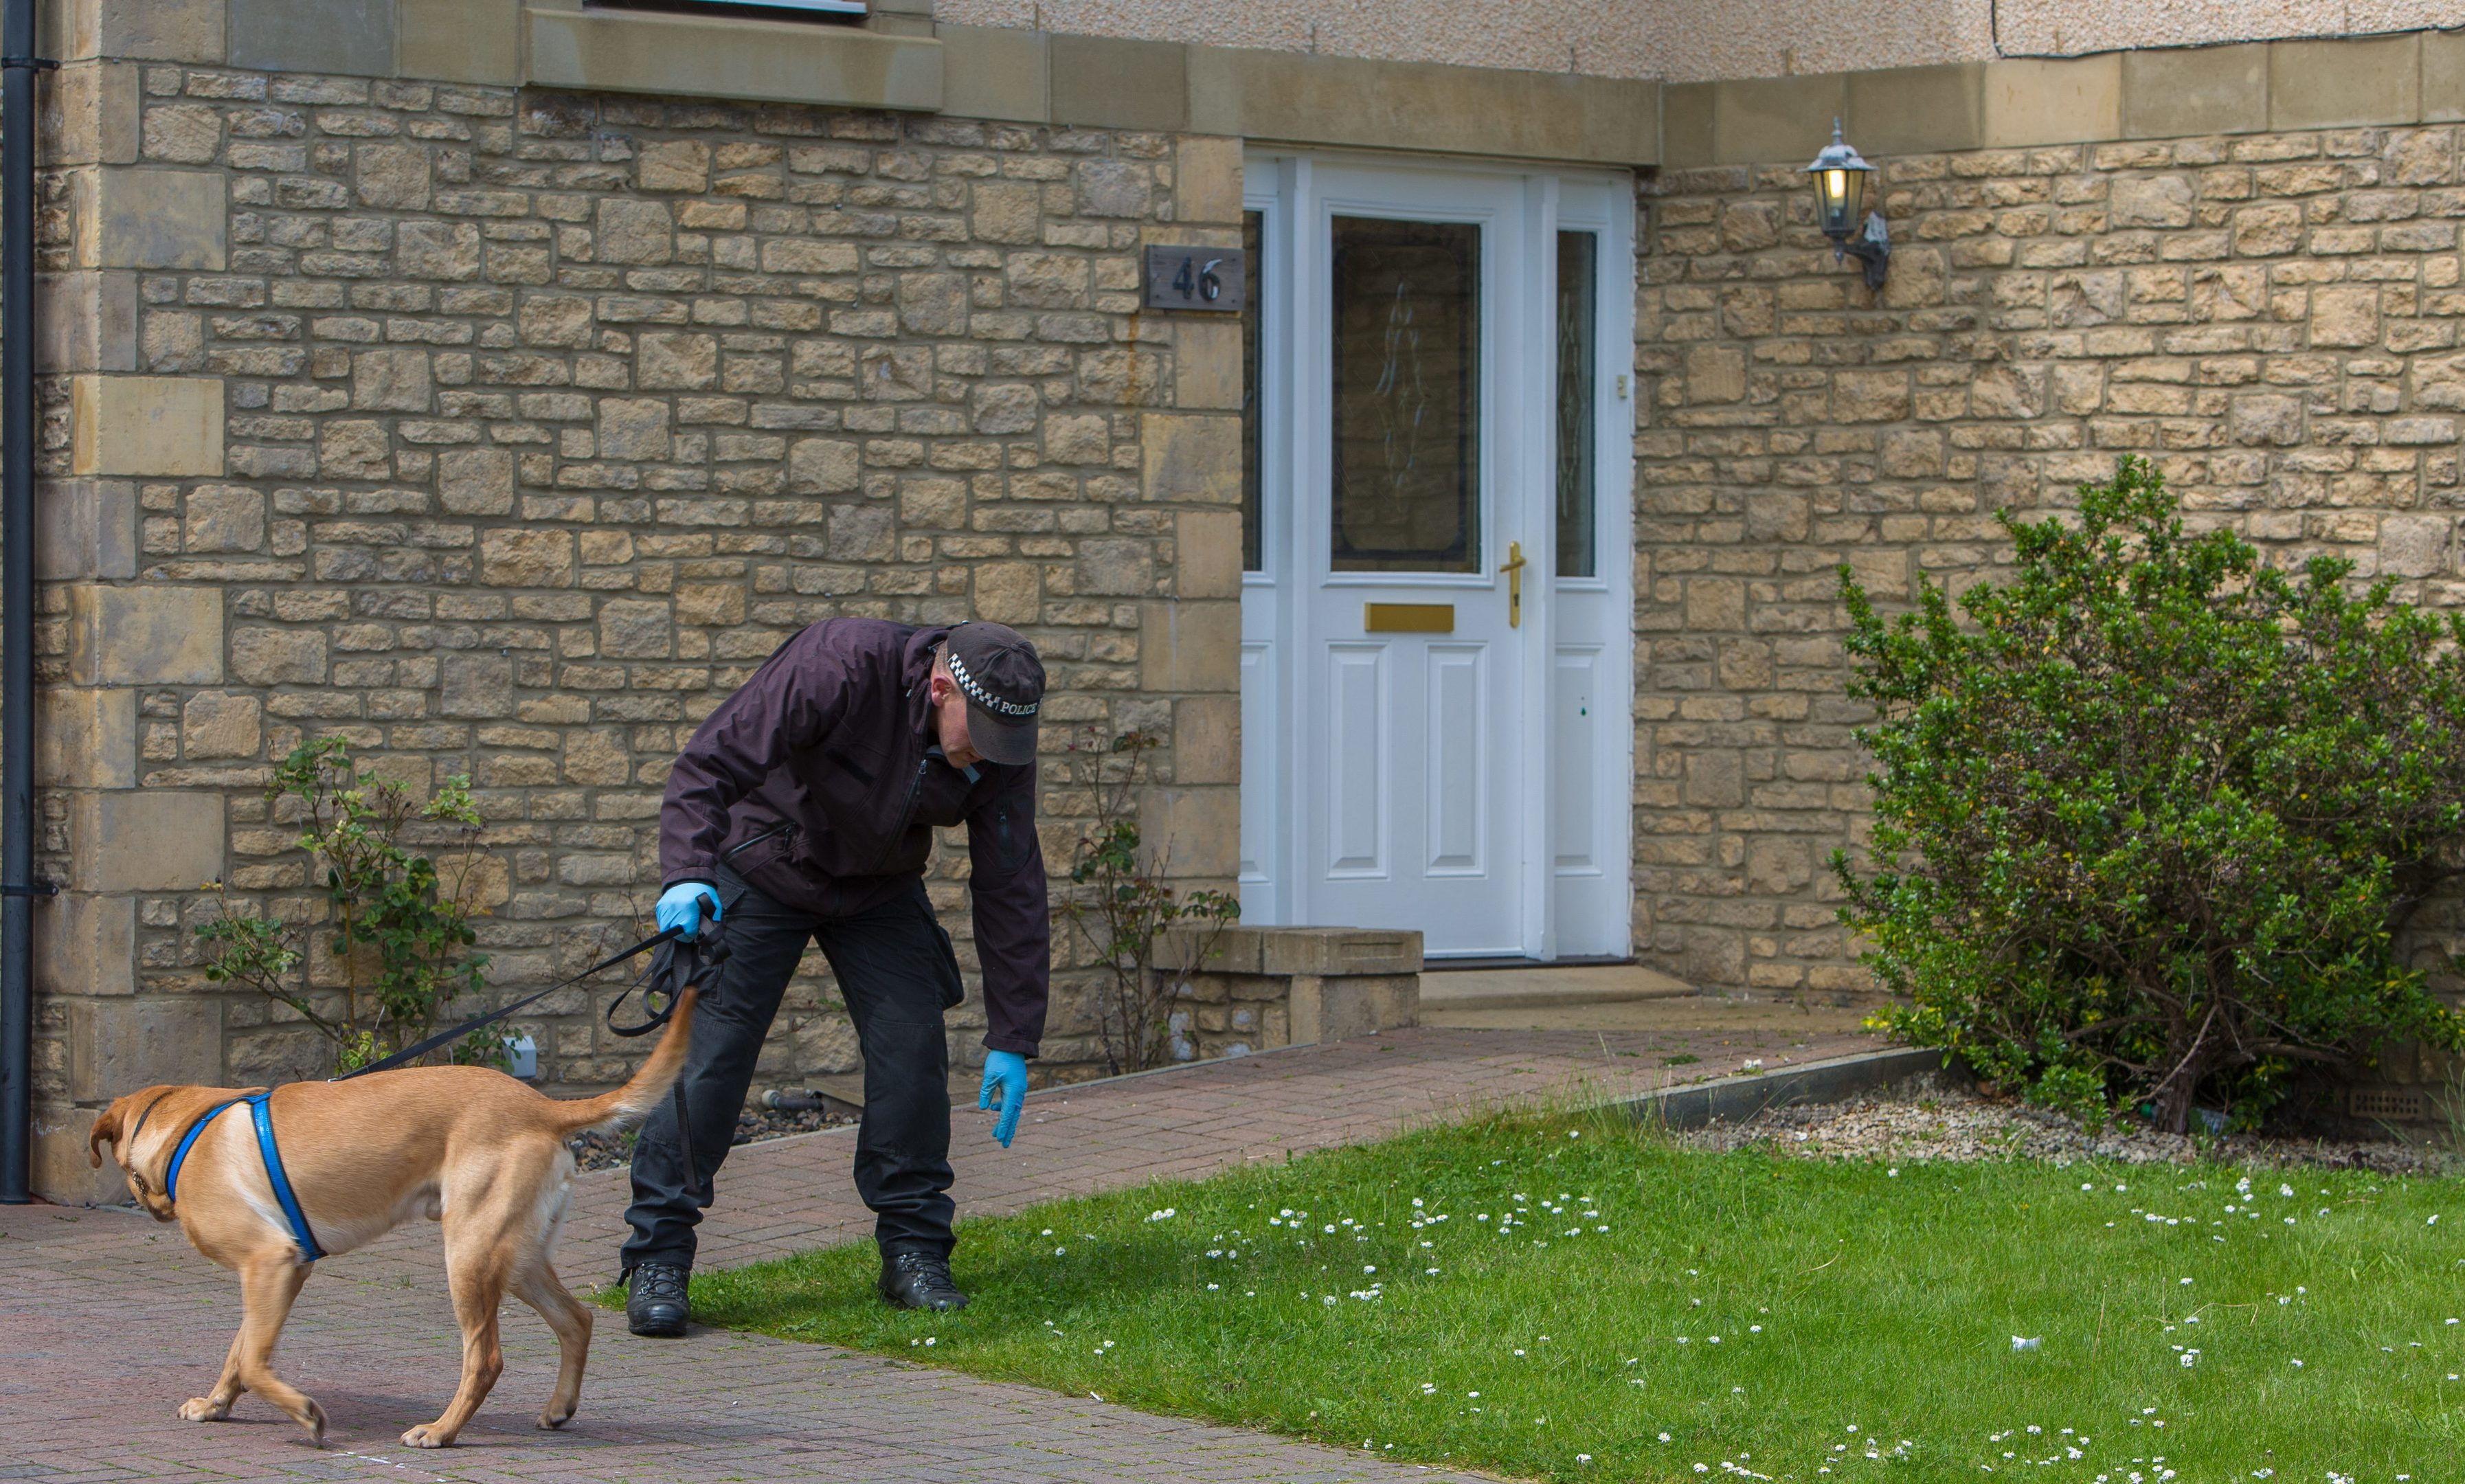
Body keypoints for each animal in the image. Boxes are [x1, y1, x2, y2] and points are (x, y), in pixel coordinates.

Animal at [87, 986, 699, 1449]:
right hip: (514, 1255)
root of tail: (543, 1107)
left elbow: (257, 1362)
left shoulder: (270, 1261)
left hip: (469, 1255)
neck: (185, 1129)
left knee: (486, 1358)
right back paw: (558, 1408)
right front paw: (216, 1405)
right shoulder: (279, 1271)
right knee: (577, 1319)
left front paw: (305, 1413)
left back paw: (442, 1431)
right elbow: (240, 1354)